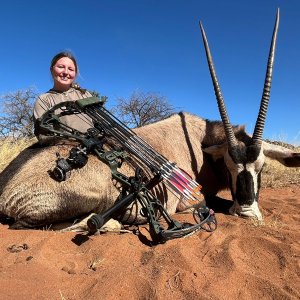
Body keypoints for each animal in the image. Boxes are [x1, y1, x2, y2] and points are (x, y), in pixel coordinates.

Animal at [0, 9, 298, 230]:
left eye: (262, 167)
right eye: (227, 165)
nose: (247, 213)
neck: (199, 141)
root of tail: (5, 193)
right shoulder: (192, 199)